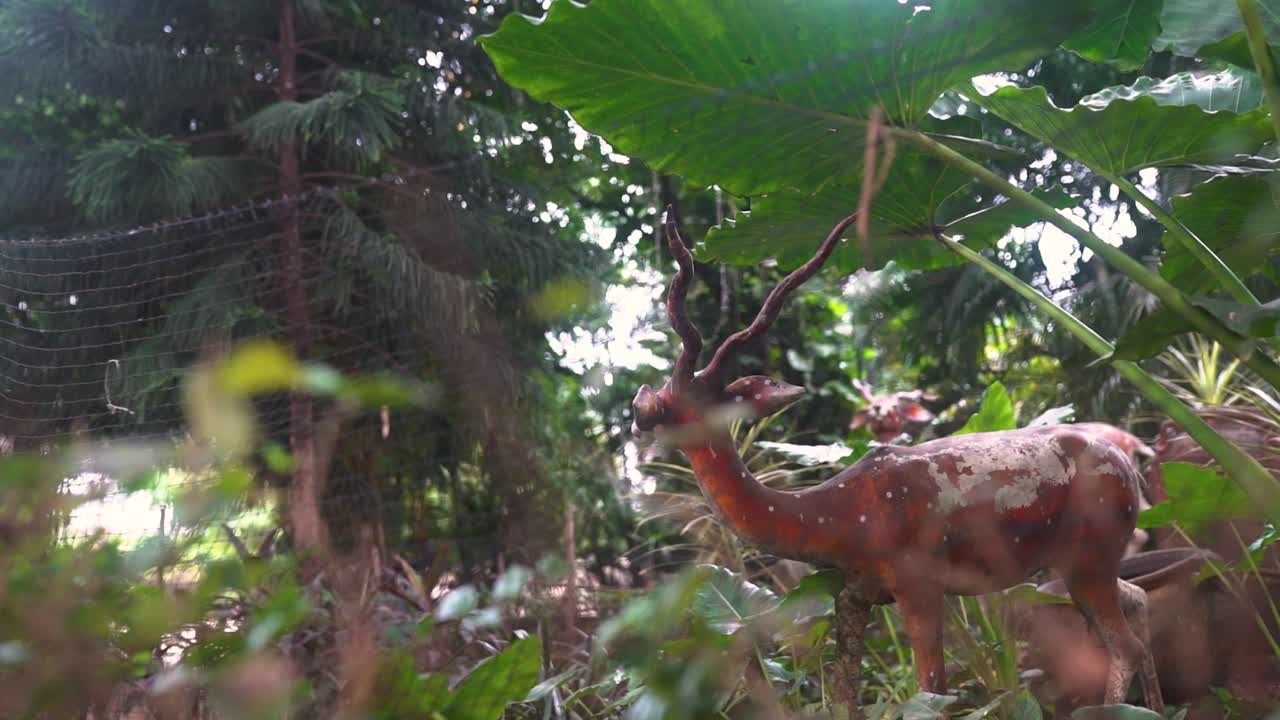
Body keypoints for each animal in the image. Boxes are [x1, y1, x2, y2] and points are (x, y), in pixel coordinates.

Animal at [631, 209, 1163, 716]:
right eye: (668, 393)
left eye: (696, 404)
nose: (642, 412)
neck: (836, 520)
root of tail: (1130, 464)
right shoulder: (853, 592)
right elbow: (843, 694)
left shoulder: (919, 580)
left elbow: (932, 691)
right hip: (1086, 558)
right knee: (1140, 601)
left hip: (1090, 549)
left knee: (1126, 645)